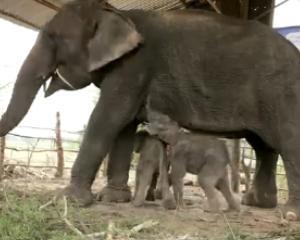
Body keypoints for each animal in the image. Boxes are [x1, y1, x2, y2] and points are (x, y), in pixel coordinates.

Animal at [0, 0, 300, 219]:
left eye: (53, 38)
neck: (117, 14)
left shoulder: (135, 66)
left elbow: (109, 117)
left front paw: (69, 200)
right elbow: (124, 127)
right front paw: (113, 198)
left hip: (283, 91)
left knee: (287, 142)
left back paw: (289, 214)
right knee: (264, 146)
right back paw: (258, 203)